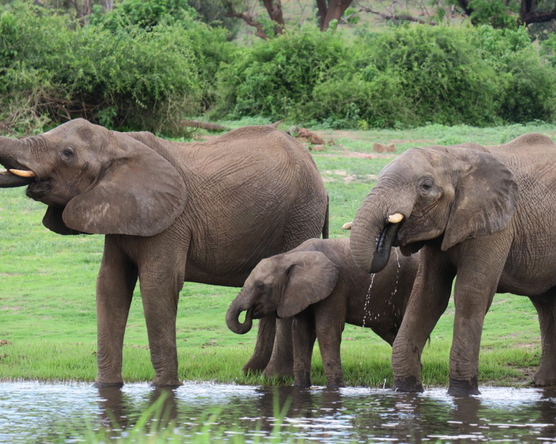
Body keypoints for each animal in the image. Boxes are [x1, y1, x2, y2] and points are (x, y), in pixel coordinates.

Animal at [225, 238, 416, 386]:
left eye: (260, 286)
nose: (250, 312)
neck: (290, 256)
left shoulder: (336, 287)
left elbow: (327, 330)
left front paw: (335, 388)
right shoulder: (300, 292)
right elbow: (301, 331)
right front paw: (300, 387)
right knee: (392, 333)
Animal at [350, 133, 556, 396]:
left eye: (425, 186)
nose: (391, 227)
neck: (452, 155)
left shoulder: (496, 224)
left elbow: (470, 294)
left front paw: (462, 393)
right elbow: (427, 295)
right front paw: (407, 390)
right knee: (546, 304)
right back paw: (544, 383)